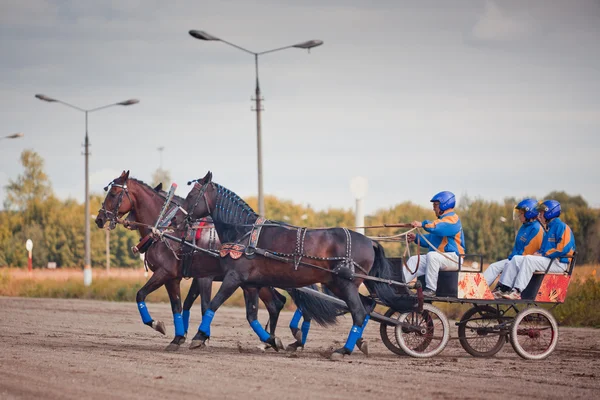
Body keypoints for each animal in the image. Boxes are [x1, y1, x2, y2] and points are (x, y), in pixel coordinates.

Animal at [95, 170, 340, 352]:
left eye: (113, 194)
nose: (99, 218)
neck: (174, 233)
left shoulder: (182, 274)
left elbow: (146, 296)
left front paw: (175, 330)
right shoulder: (175, 277)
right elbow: (179, 306)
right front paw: (179, 337)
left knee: (281, 303)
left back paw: (289, 338)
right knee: (277, 303)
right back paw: (277, 340)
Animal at [171, 171, 414, 360]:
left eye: (192, 195)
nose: (175, 221)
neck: (244, 233)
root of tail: (369, 240)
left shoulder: (233, 278)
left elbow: (212, 305)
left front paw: (198, 337)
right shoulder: (250, 284)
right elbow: (251, 316)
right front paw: (271, 340)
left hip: (345, 284)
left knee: (359, 312)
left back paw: (343, 350)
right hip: (339, 285)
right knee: (366, 306)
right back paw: (355, 343)